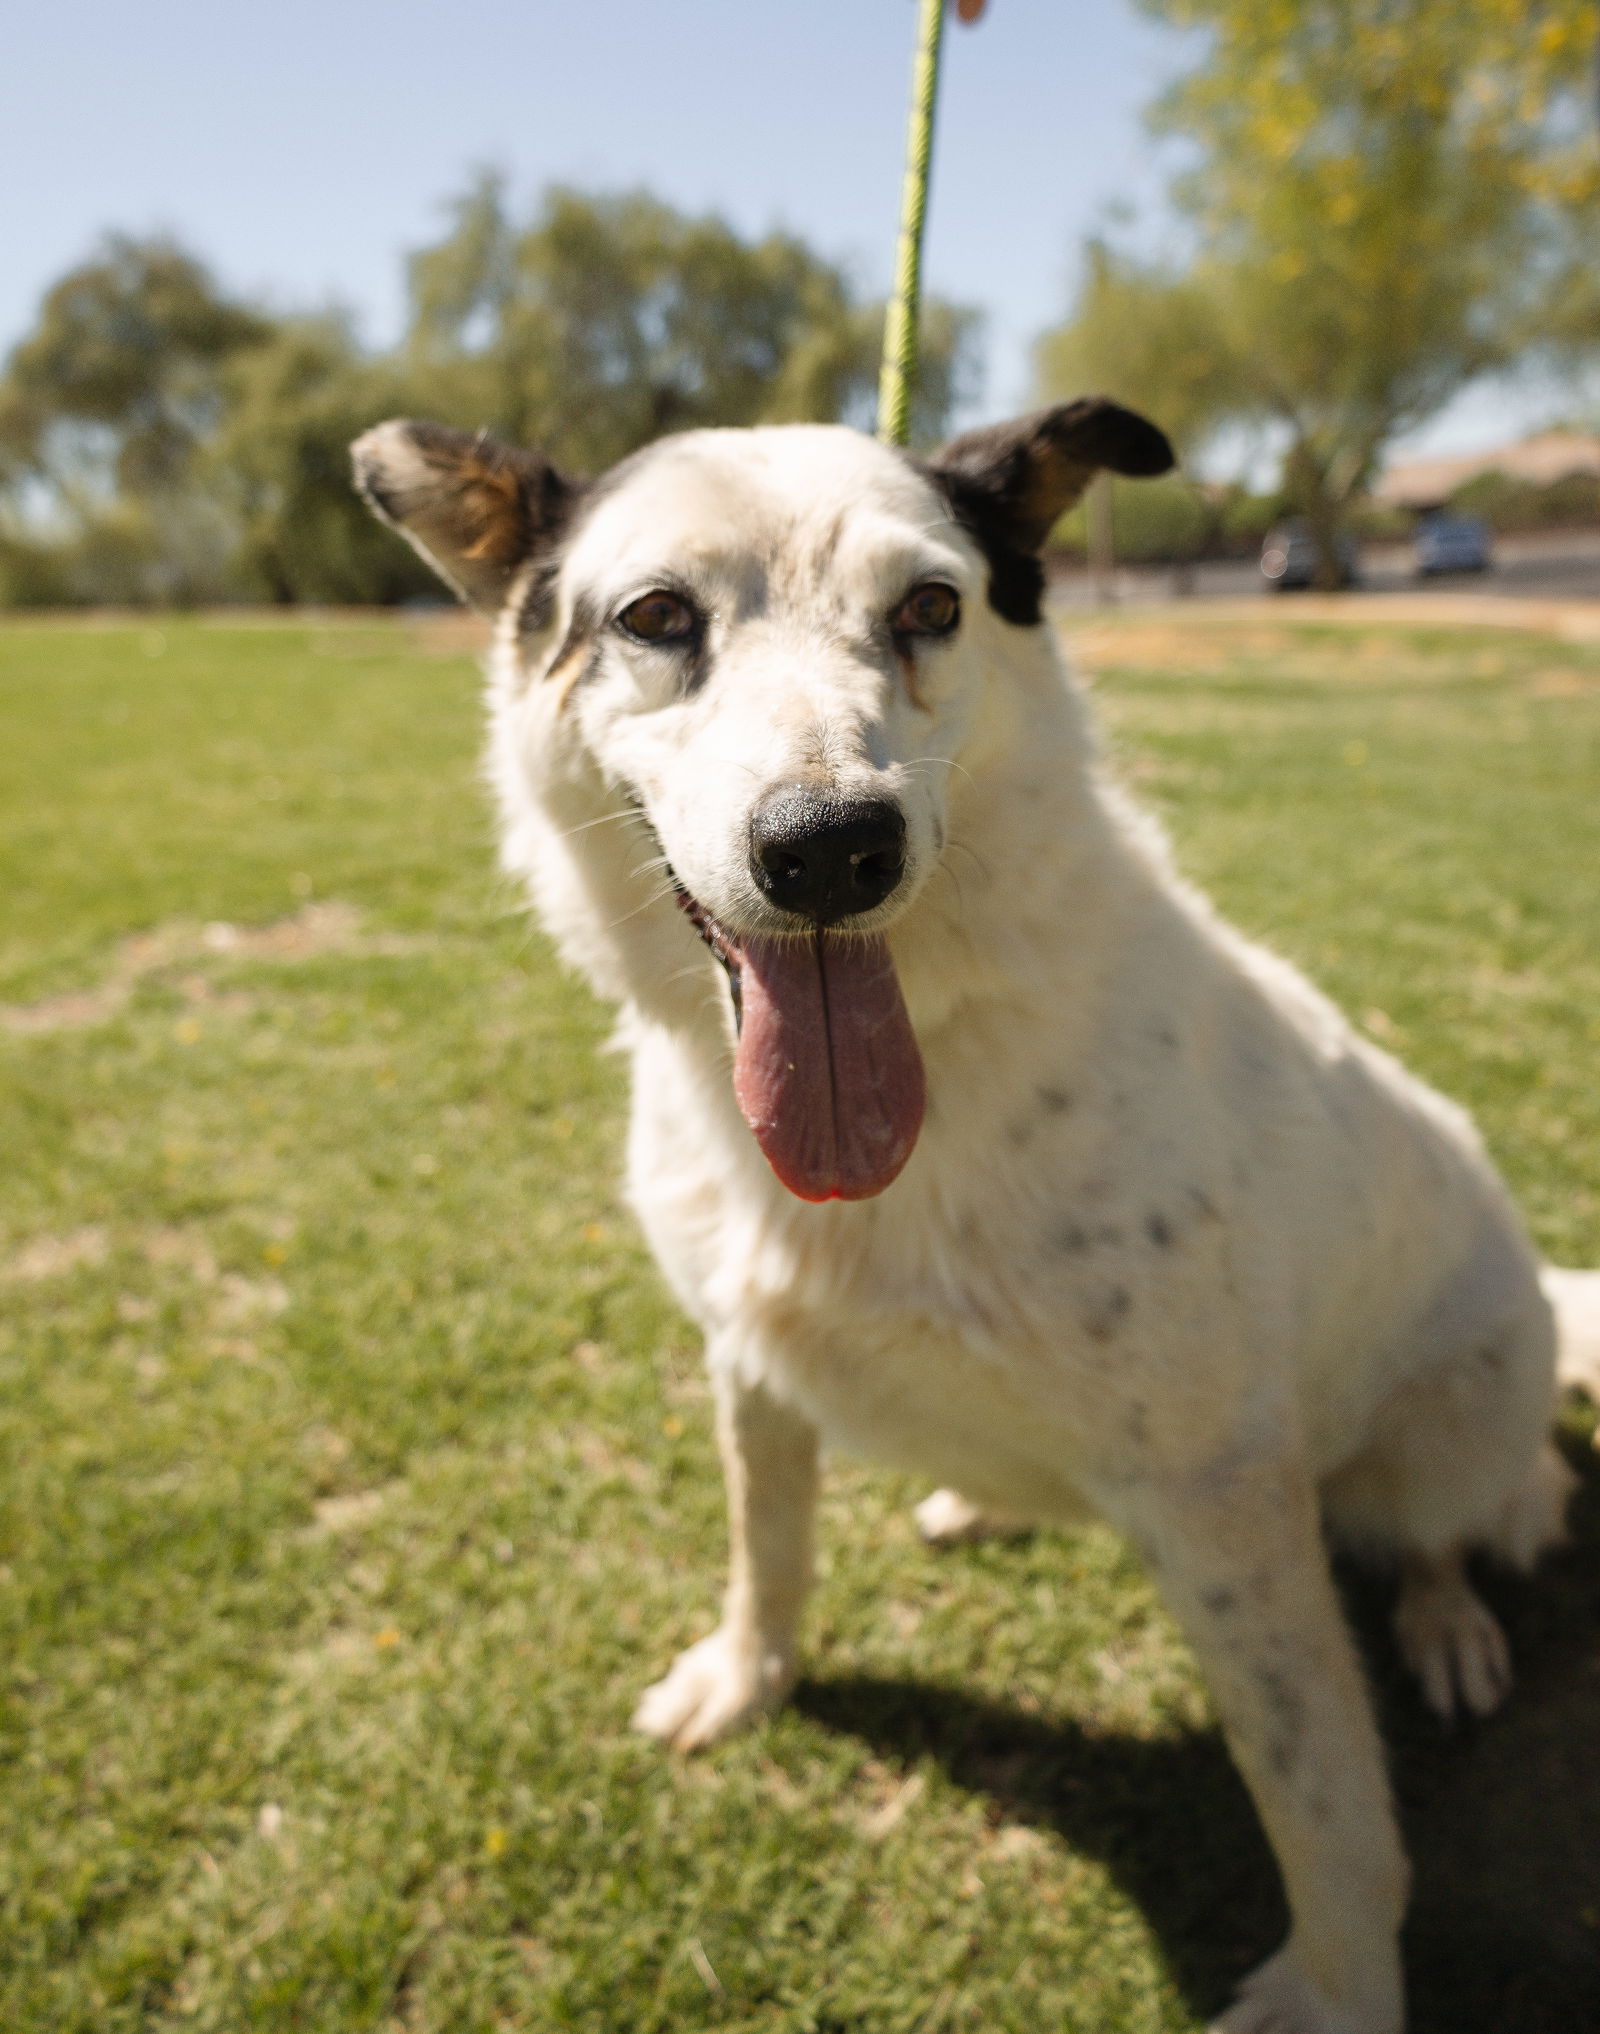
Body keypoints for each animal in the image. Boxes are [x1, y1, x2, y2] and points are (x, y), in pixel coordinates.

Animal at [355, 400, 1600, 2033]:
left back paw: (1449, 1620)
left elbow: (1318, 1786)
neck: (934, 1064)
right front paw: (748, 1676)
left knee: (1451, 1527)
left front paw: (1336, 1987)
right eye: (657, 618)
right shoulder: (749, 1363)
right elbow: (768, 1545)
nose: (832, 848)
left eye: (930, 609)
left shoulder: (1222, 1495)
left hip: (1450, 1423)